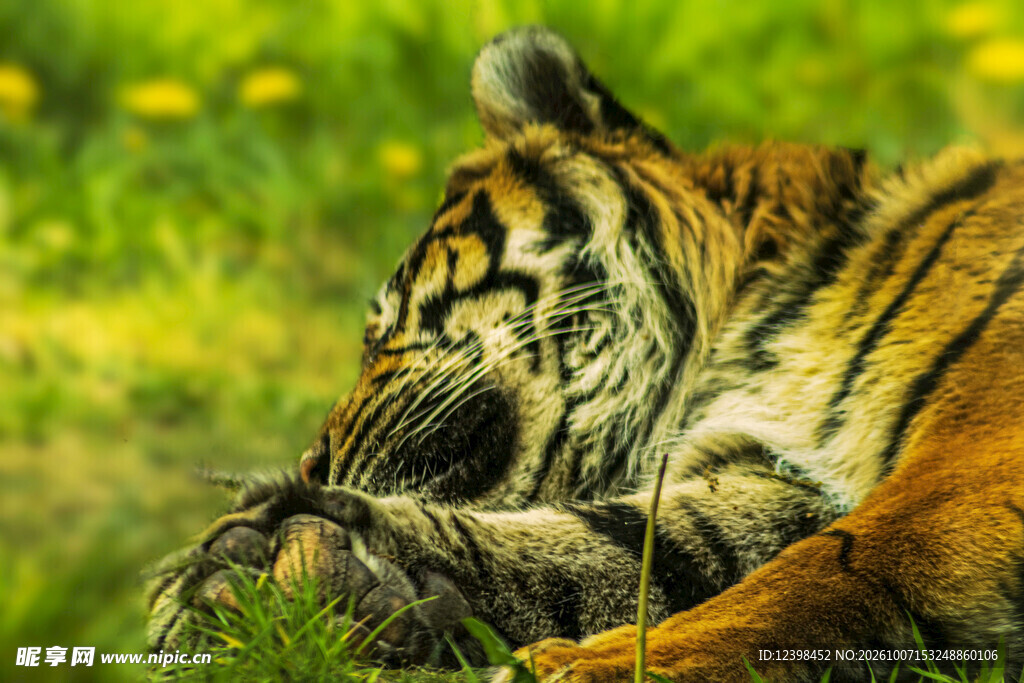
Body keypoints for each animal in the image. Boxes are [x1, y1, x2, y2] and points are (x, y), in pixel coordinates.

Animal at [147, 26, 1024, 682]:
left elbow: (817, 572)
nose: (312, 462)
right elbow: (635, 543)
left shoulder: (975, 456)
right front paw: (267, 570)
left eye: (382, 324)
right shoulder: (781, 478)